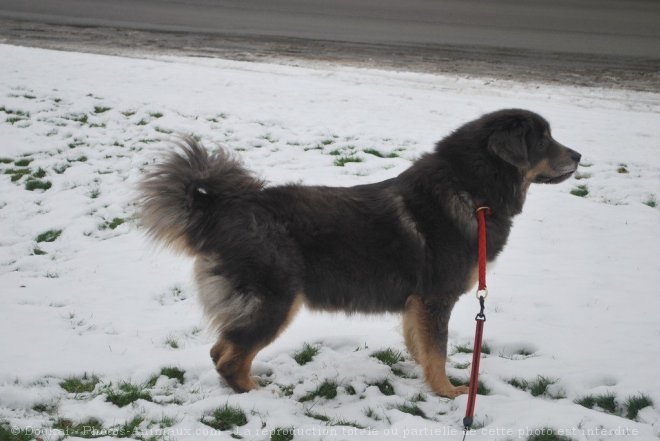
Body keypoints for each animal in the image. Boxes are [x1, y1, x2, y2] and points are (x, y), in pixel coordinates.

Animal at [138, 108, 576, 398]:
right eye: (542, 139)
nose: (579, 156)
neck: (470, 190)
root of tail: (218, 209)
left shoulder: (417, 303)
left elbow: (421, 345)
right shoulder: (437, 298)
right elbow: (437, 351)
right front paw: (448, 392)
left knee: (221, 348)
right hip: (277, 302)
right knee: (229, 355)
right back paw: (257, 392)